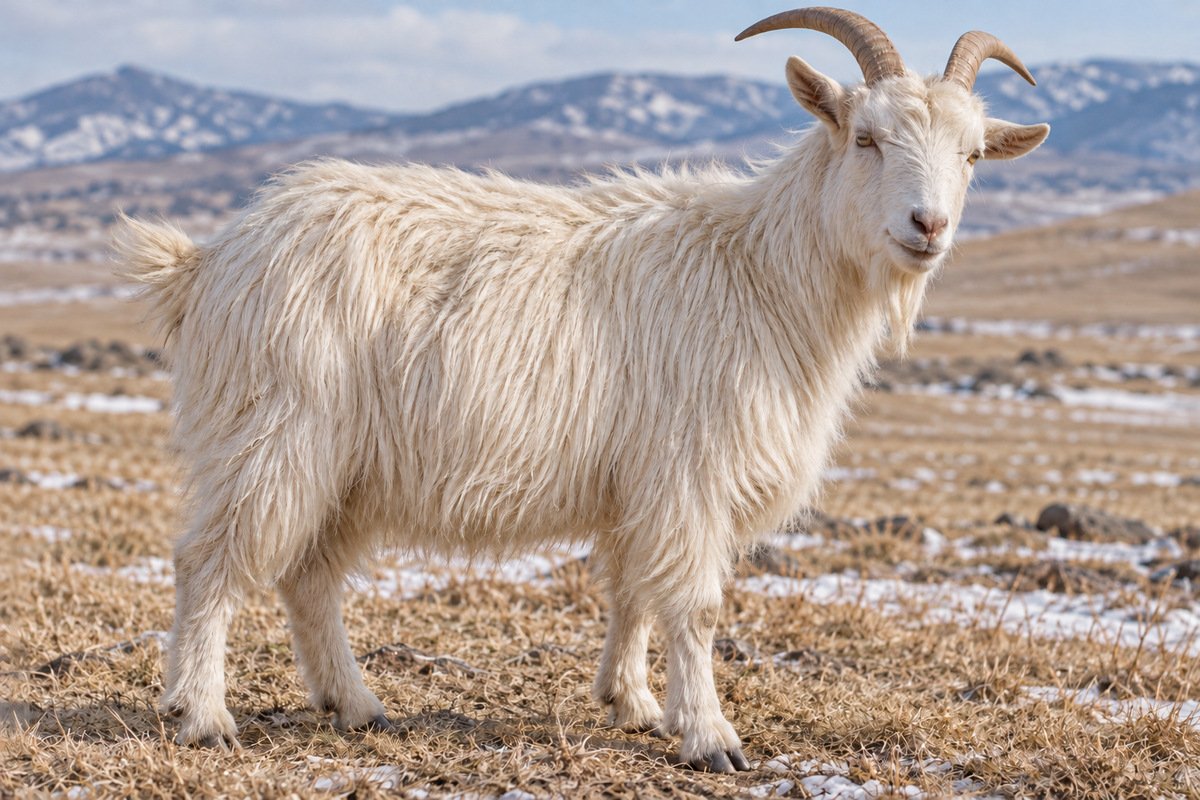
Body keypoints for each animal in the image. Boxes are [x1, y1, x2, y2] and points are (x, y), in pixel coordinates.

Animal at [114, 7, 1048, 772]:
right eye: (865, 138)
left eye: (971, 155)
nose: (929, 226)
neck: (760, 269)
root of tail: (207, 261)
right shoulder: (688, 472)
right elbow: (695, 606)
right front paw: (711, 736)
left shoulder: (638, 481)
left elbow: (631, 588)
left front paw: (630, 702)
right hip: (275, 433)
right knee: (210, 561)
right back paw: (203, 715)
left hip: (347, 469)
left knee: (308, 578)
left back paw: (357, 704)